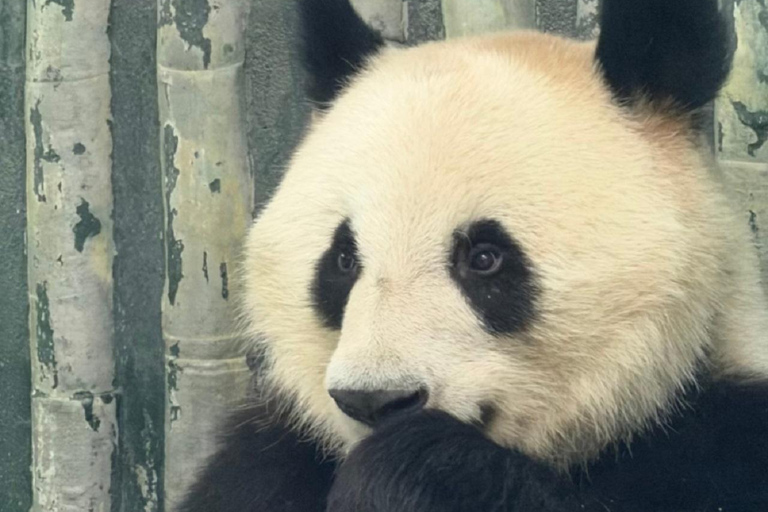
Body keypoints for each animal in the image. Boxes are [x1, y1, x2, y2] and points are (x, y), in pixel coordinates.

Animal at [180, 0, 768, 511]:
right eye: (343, 261)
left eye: (485, 257)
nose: (376, 402)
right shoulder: (268, 456)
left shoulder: (718, 444)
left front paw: (404, 470)